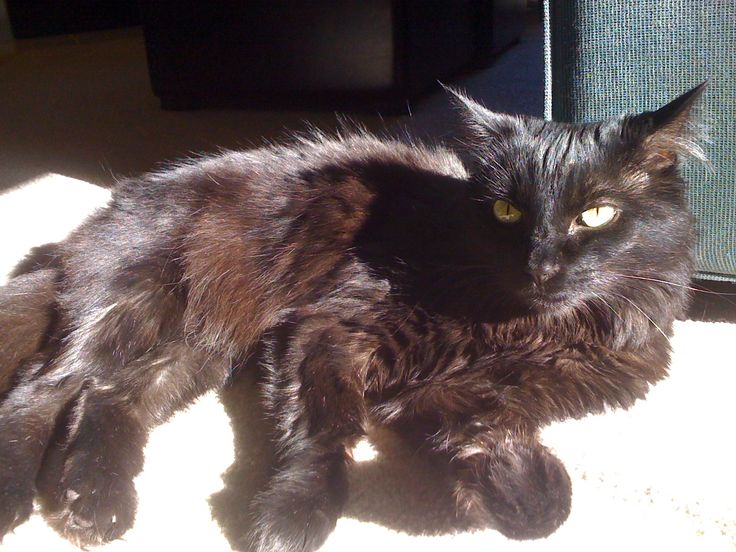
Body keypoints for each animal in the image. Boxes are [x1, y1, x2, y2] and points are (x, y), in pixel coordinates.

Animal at [0, 84, 704, 548]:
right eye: (507, 212)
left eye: (596, 214)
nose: (541, 264)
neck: (522, 327)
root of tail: (106, 210)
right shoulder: (329, 330)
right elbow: (326, 432)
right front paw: (292, 518)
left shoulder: (473, 395)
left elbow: (520, 478)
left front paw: (514, 479)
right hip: (133, 301)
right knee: (43, 390)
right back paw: (23, 495)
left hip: (197, 344)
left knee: (108, 396)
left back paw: (94, 502)